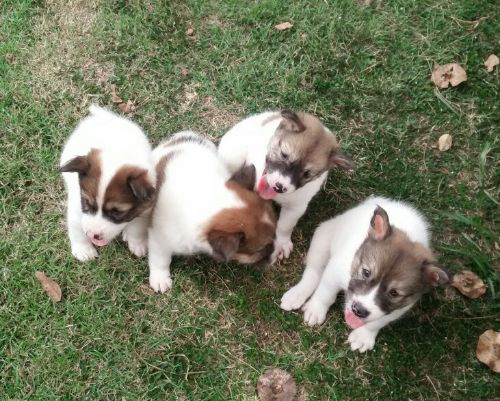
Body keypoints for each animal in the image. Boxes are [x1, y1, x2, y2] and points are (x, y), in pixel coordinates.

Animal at [60, 106, 156, 261]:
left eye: (117, 212)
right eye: (87, 202)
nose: (93, 235)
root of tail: (106, 118)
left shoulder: (144, 208)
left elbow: (137, 227)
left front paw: (137, 243)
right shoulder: (76, 206)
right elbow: (76, 228)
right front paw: (83, 250)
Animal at [148, 131, 277, 293]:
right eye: (262, 249)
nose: (276, 258)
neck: (207, 201)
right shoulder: (159, 235)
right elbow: (160, 257)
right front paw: (160, 278)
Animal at [218, 110, 353, 261]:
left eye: (307, 174)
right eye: (284, 154)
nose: (279, 187)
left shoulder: (296, 207)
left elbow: (285, 226)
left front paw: (282, 243)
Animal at [281, 196, 451, 352]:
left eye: (394, 293)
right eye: (366, 272)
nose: (359, 310)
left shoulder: (400, 307)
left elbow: (378, 321)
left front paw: (363, 336)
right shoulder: (335, 271)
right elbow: (325, 293)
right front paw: (316, 310)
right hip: (323, 237)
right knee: (314, 272)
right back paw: (297, 294)